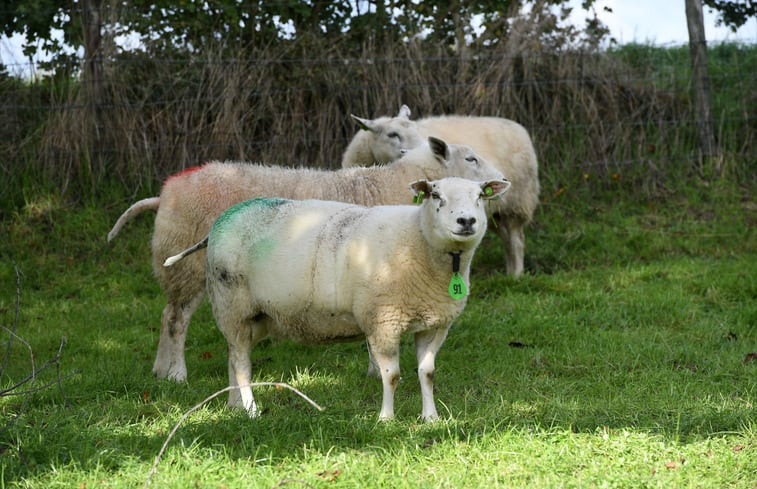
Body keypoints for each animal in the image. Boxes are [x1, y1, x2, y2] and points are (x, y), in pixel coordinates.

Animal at [106, 136, 504, 382]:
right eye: (470, 158)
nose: (503, 180)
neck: (397, 186)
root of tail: (165, 194)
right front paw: (378, 369)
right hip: (189, 264)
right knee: (176, 319)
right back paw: (177, 373)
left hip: (182, 268)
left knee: (166, 314)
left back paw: (160, 370)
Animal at [162, 175, 510, 420]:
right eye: (436, 195)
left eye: (480, 196)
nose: (466, 221)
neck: (418, 240)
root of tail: (220, 221)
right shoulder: (383, 320)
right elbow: (392, 375)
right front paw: (386, 419)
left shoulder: (434, 324)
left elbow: (427, 374)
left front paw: (431, 418)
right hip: (231, 302)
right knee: (243, 365)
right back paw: (251, 409)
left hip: (253, 316)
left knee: (234, 357)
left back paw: (234, 406)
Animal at [340, 104, 540, 276]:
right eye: (392, 134)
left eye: (416, 130)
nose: (413, 150)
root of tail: (517, 126)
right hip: (494, 212)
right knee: (506, 239)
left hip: (517, 202)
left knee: (516, 240)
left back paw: (516, 275)